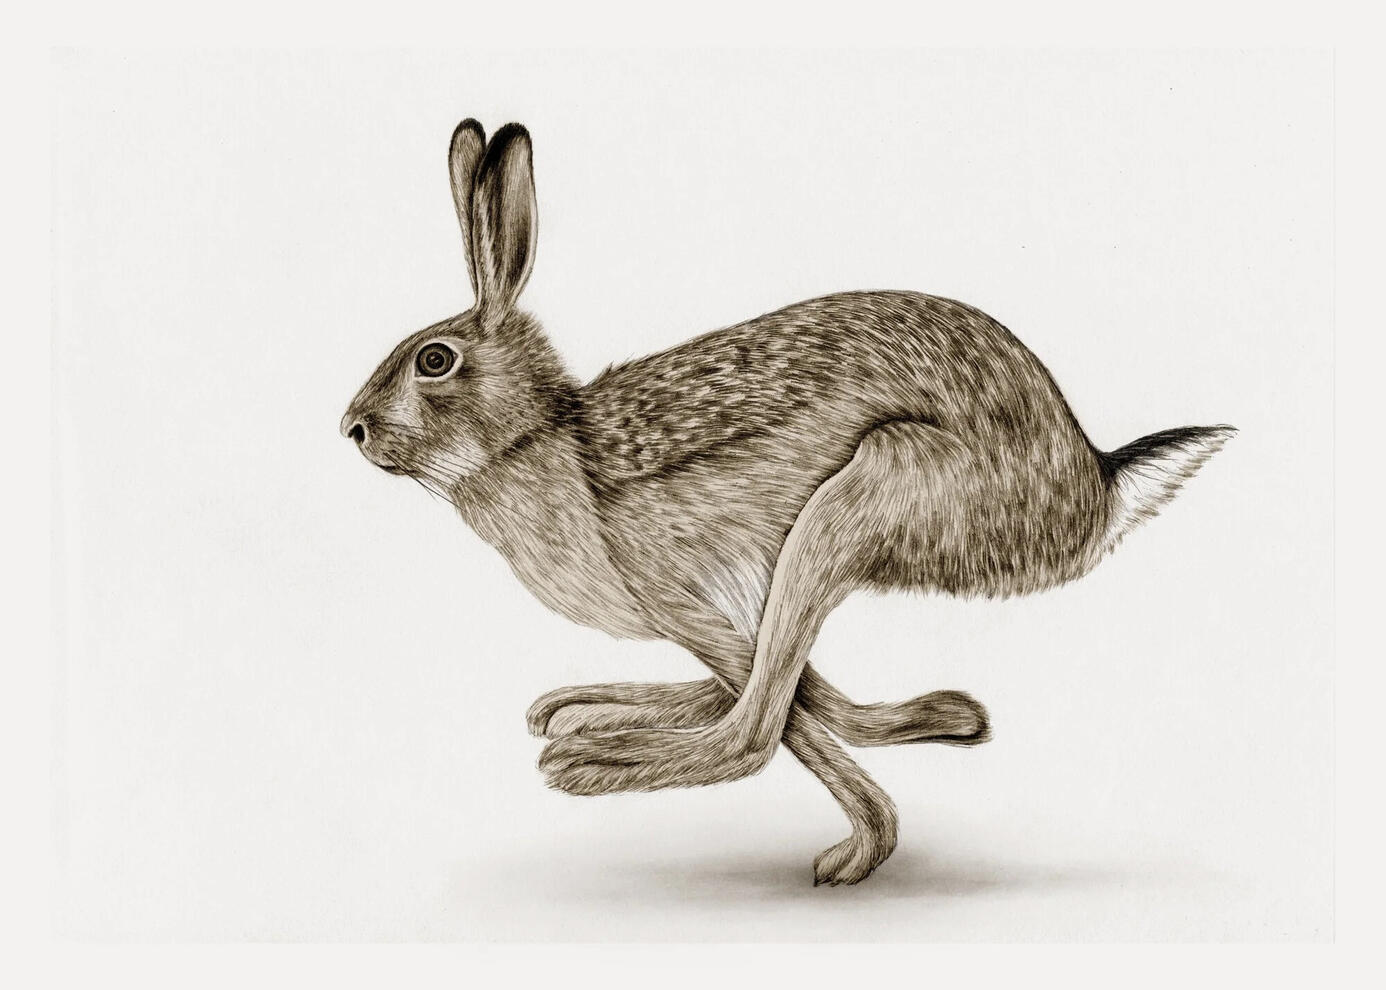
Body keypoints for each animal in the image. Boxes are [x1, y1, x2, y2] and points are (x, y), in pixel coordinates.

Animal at [341, 118, 1235, 886]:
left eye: (433, 359)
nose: (350, 428)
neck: (536, 439)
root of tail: (1092, 491)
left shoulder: (674, 592)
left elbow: (779, 717)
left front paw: (864, 843)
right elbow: (797, 693)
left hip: (869, 489)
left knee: (756, 727)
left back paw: (595, 762)